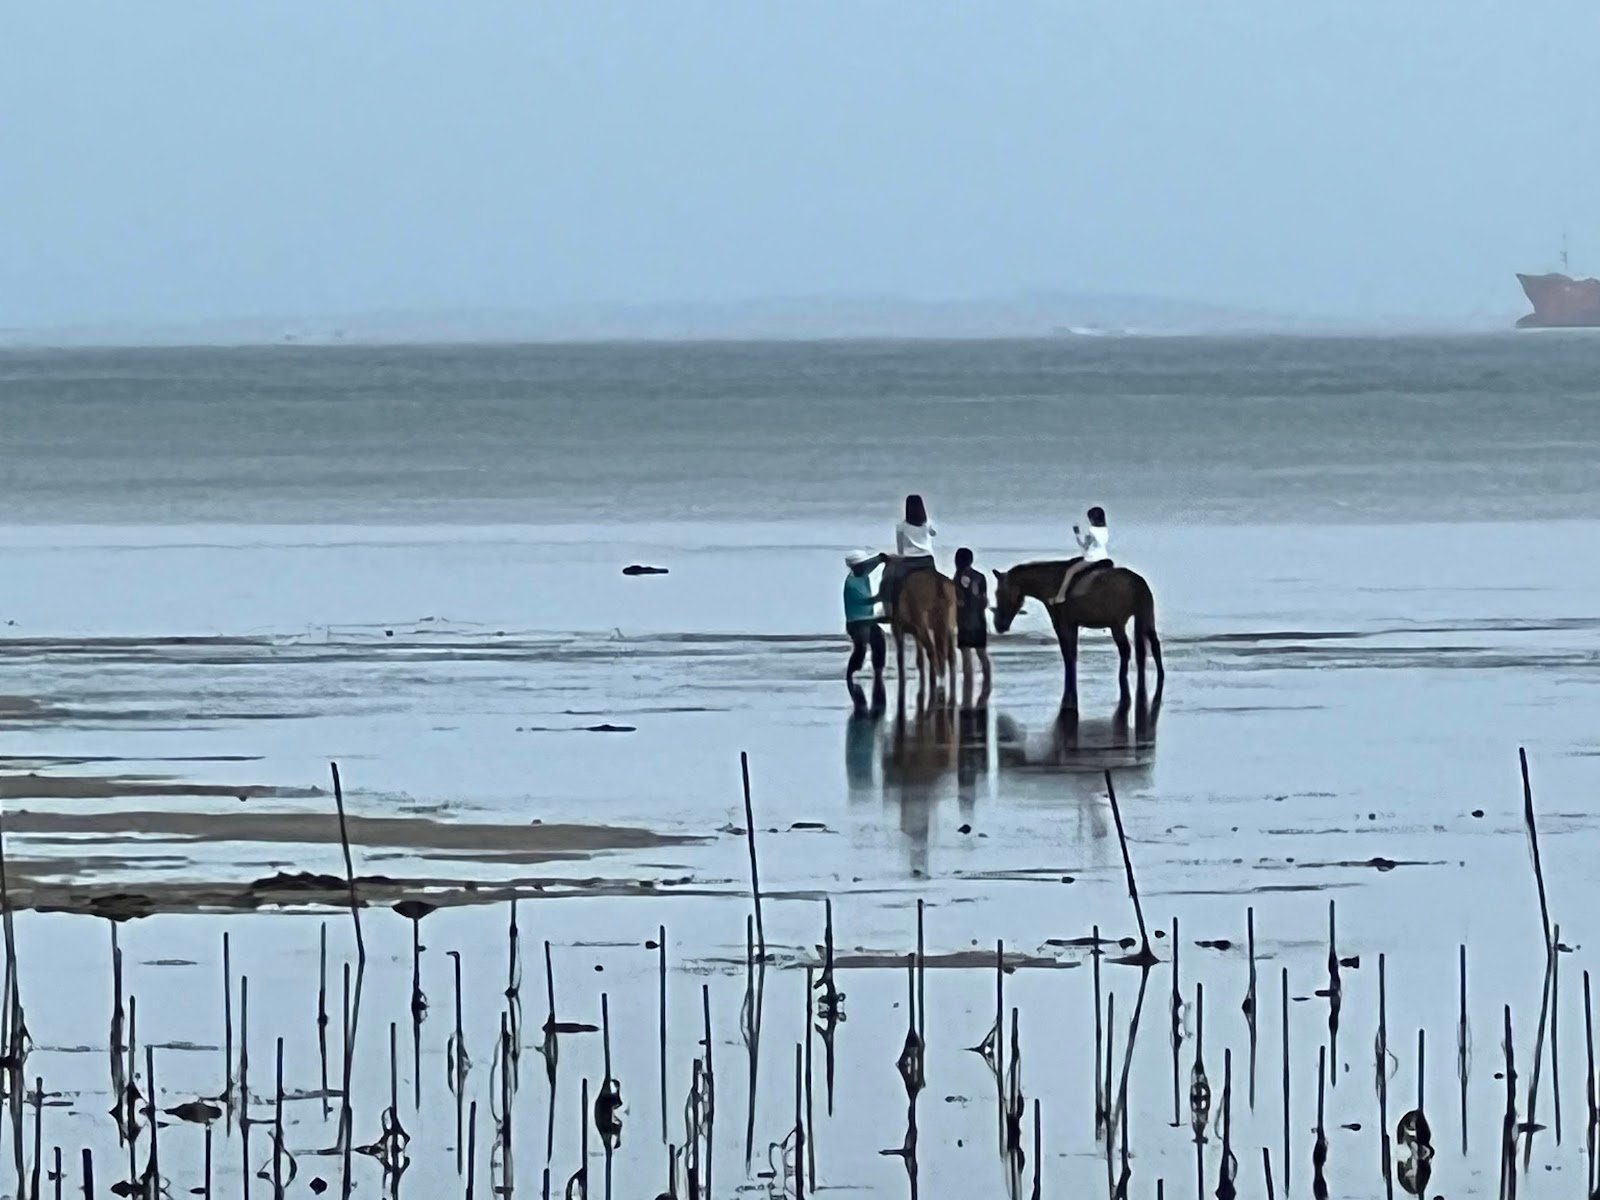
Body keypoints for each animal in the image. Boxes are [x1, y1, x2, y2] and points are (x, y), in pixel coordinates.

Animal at [991, 561, 1163, 707]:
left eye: (999, 593)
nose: (999, 625)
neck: (1051, 583)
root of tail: (1137, 582)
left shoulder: (1063, 624)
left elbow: (1068, 653)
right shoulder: (1072, 624)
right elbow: (1071, 653)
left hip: (1118, 623)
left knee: (1127, 649)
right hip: (1145, 616)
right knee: (1152, 645)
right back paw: (1158, 674)